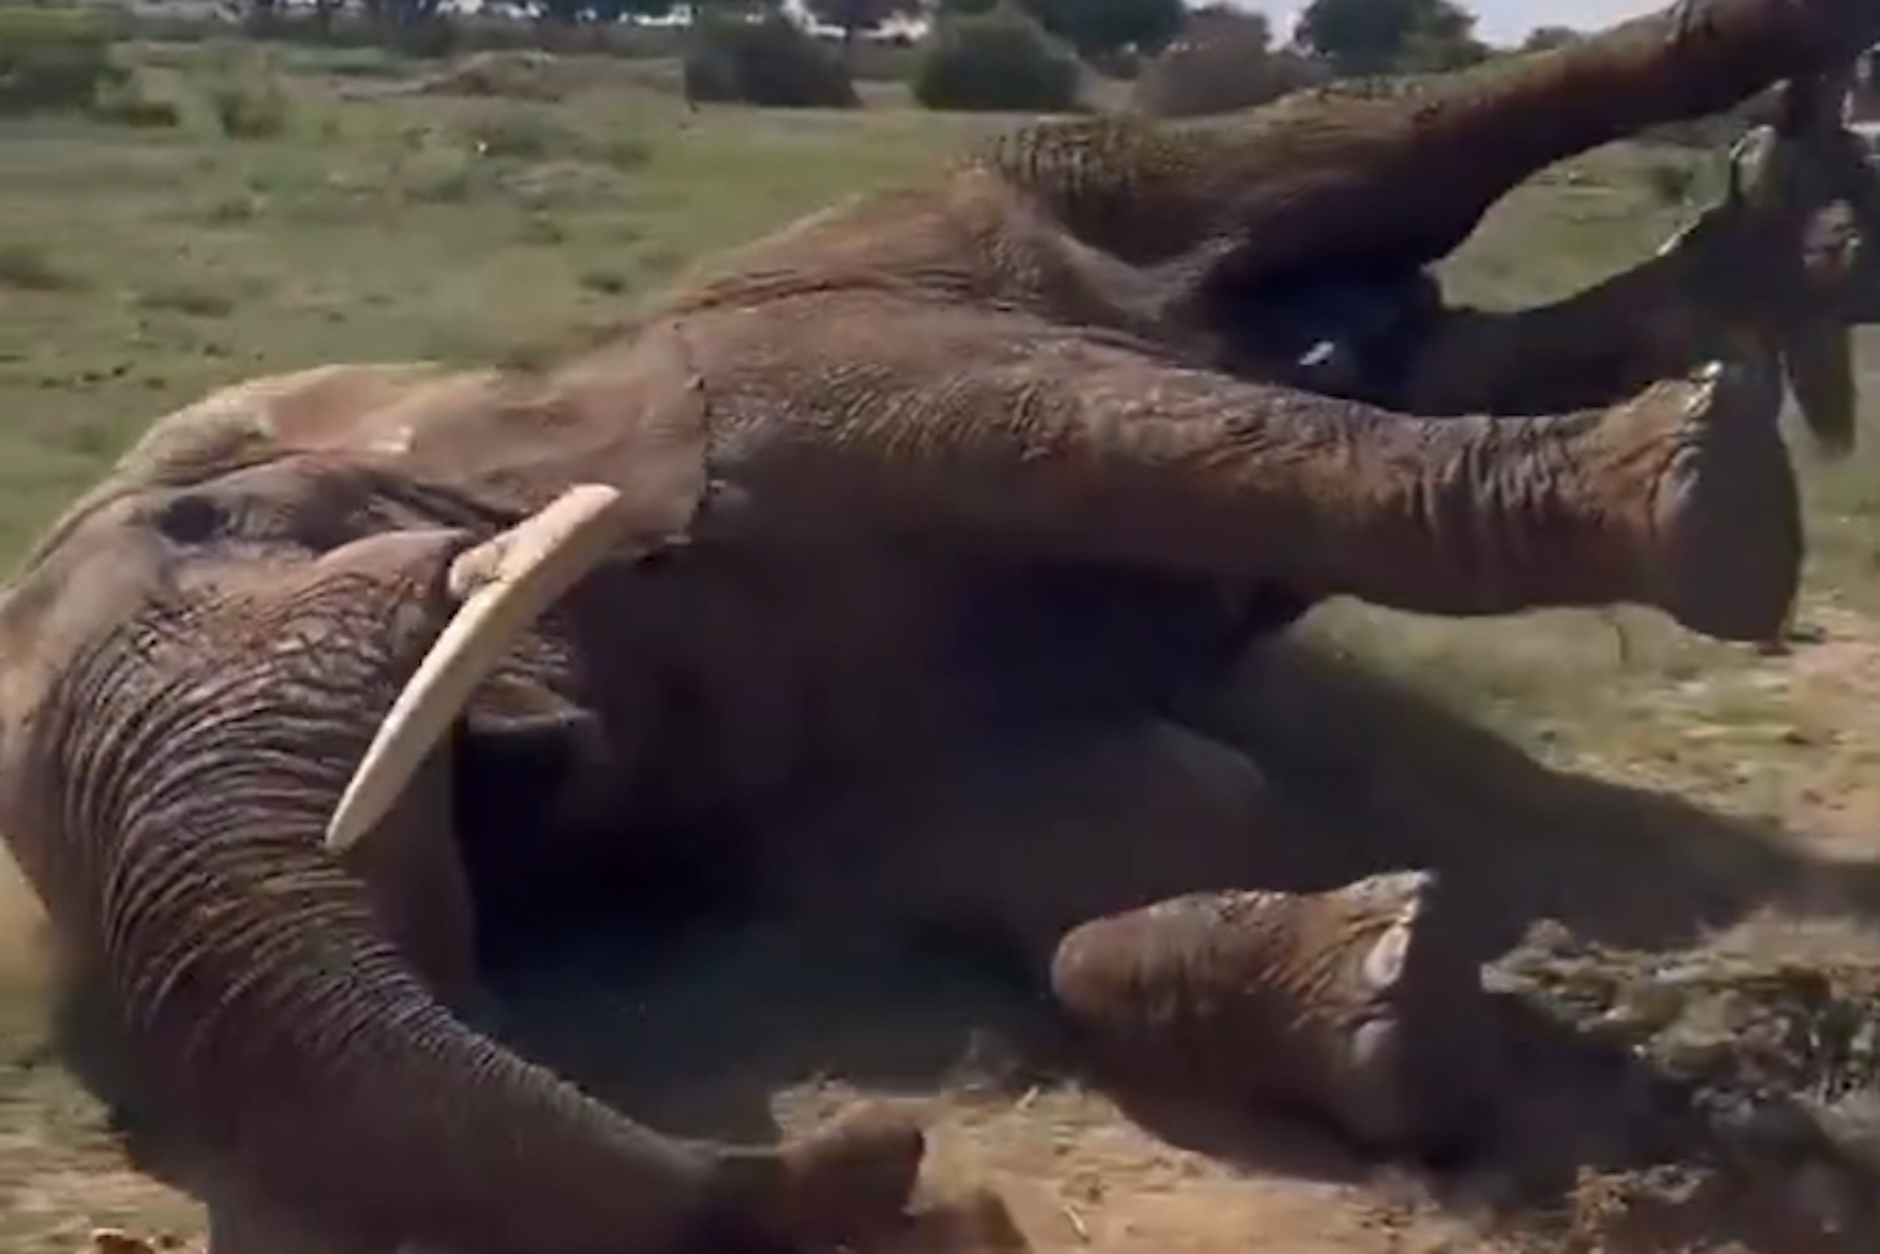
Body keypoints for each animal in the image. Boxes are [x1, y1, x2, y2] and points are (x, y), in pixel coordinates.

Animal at [1, 1, 1876, 1252]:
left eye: (215, 526)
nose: (897, 1153)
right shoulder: (798, 779)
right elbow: (1099, 846)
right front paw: (1394, 993)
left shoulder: (779, 393)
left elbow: (1125, 442)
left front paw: (1707, 507)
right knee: (1435, 330)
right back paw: (1781, 241)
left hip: (1054, 173)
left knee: (1389, 154)